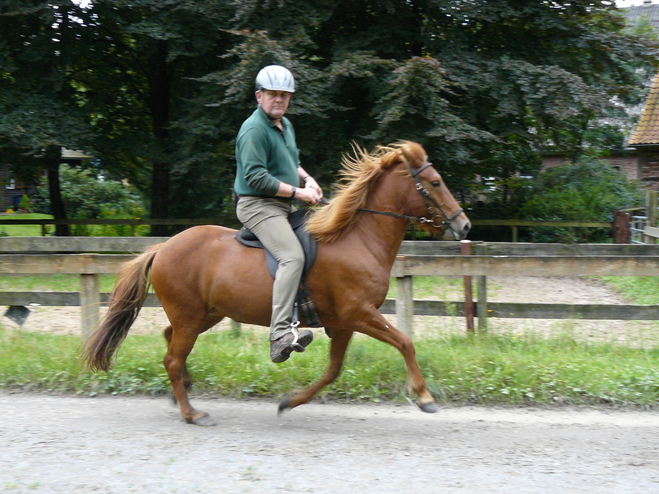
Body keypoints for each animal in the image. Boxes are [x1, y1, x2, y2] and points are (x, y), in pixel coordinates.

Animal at [85, 141, 472, 426]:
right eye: (435, 182)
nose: (464, 225)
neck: (357, 238)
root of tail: (163, 247)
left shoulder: (342, 323)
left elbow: (333, 371)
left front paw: (289, 402)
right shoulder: (358, 314)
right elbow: (405, 342)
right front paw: (424, 397)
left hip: (205, 314)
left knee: (172, 344)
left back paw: (184, 389)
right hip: (191, 315)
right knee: (172, 358)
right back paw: (191, 412)